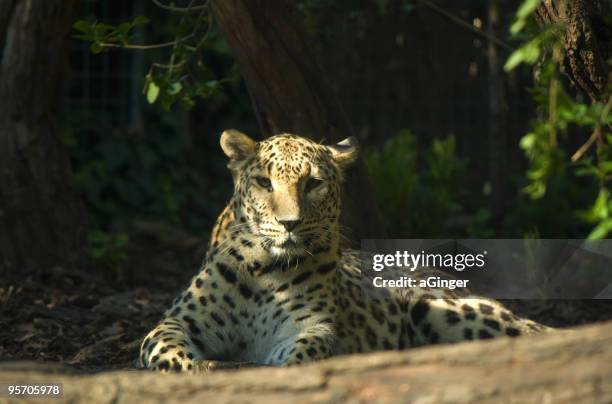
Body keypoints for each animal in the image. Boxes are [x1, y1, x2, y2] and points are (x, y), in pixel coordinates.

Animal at [139, 130, 548, 372]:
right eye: (264, 183)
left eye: (313, 184)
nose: (289, 223)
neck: (264, 270)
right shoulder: (177, 321)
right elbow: (167, 351)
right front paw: (198, 369)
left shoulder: (311, 326)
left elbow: (308, 351)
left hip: (439, 306)